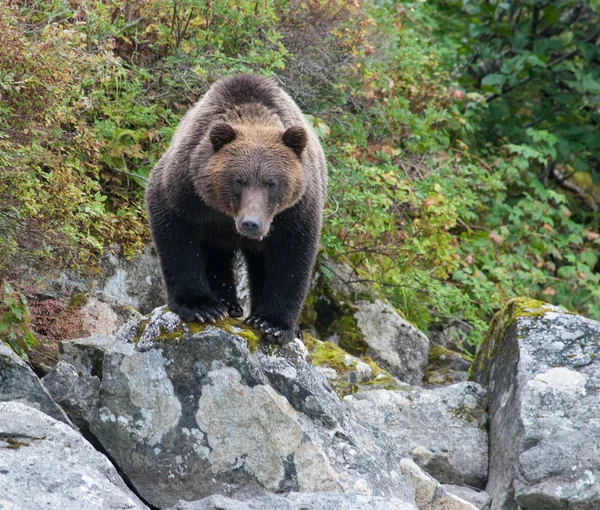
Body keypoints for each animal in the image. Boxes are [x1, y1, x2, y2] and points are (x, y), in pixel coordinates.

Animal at [145, 73, 326, 344]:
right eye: (238, 180)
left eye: (272, 183)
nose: (251, 223)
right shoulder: (187, 187)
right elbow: (175, 233)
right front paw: (200, 306)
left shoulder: (295, 211)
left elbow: (292, 257)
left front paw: (273, 323)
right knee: (215, 254)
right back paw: (226, 303)